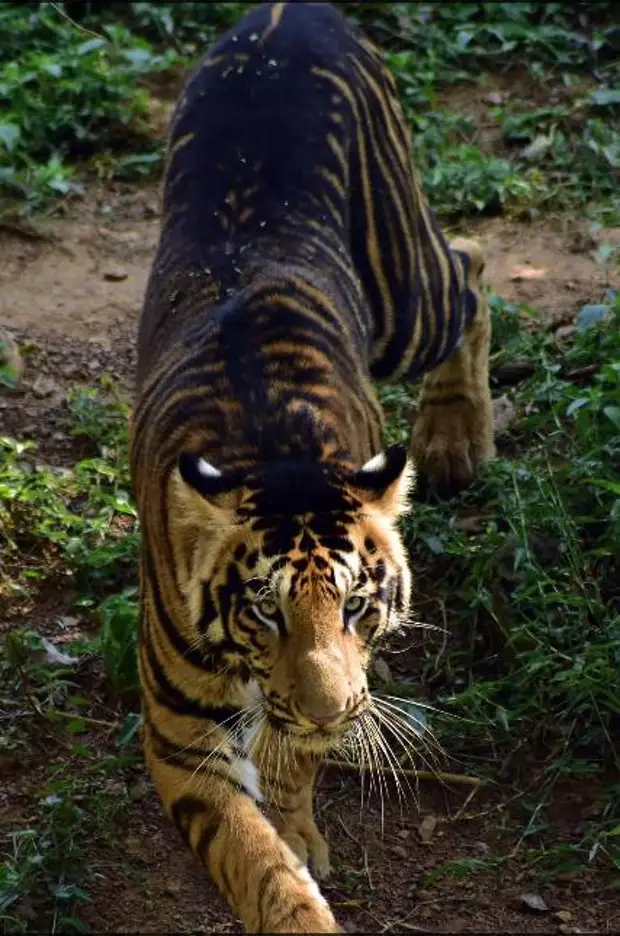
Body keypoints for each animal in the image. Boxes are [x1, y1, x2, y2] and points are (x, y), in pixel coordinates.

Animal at [130, 3, 494, 932]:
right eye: (265, 610)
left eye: (358, 605)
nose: (336, 713)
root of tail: (289, 11)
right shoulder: (180, 734)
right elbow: (251, 857)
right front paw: (289, 879)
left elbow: (290, 764)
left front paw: (298, 821)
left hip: (407, 302)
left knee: (472, 265)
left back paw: (453, 435)